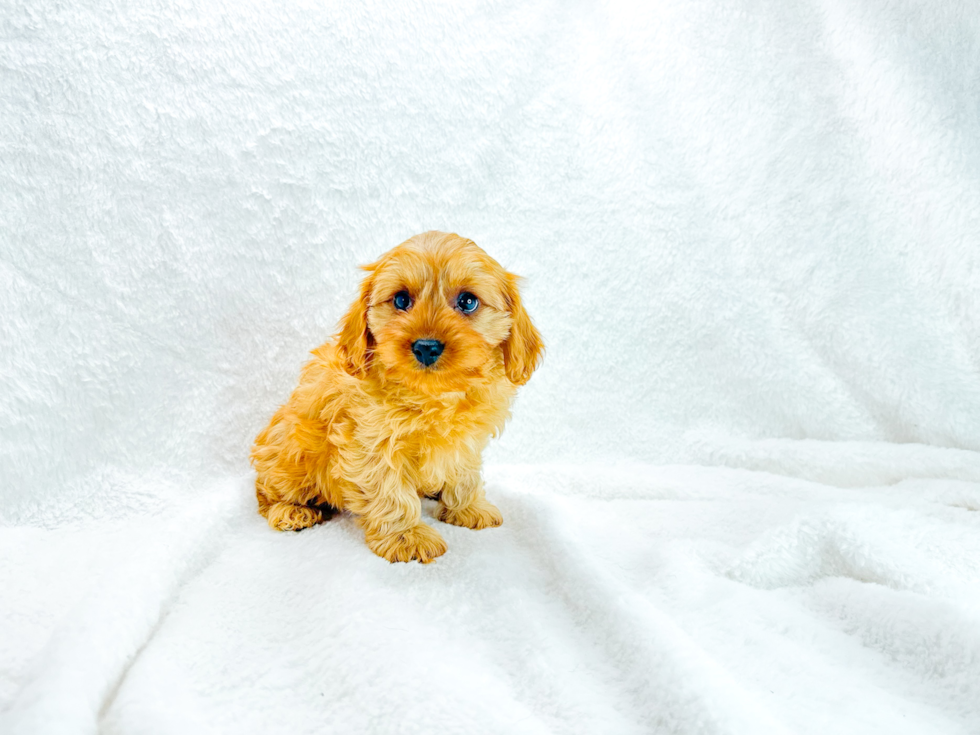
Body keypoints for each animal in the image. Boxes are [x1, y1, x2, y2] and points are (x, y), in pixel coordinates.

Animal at [251, 230, 544, 564]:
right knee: (265, 491)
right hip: (289, 455)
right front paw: (406, 536)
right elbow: (390, 492)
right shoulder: (372, 444)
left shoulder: (466, 442)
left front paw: (467, 507)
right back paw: (292, 511)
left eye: (468, 302)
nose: (426, 347)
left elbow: (464, 474)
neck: (433, 396)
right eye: (401, 300)